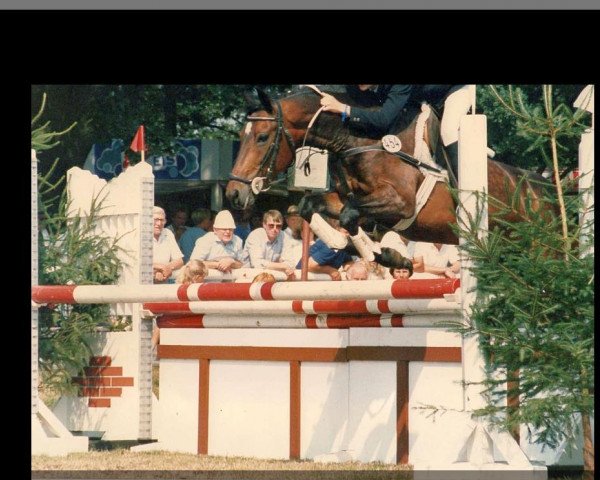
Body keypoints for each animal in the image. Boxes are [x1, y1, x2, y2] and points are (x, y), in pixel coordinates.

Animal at [226, 88, 552, 256]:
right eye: (241, 136)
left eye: (262, 137)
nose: (234, 194)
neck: (361, 140)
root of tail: (543, 190)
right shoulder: (344, 197)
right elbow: (311, 205)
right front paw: (348, 244)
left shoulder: (400, 202)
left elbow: (350, 215)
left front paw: (380, 254)